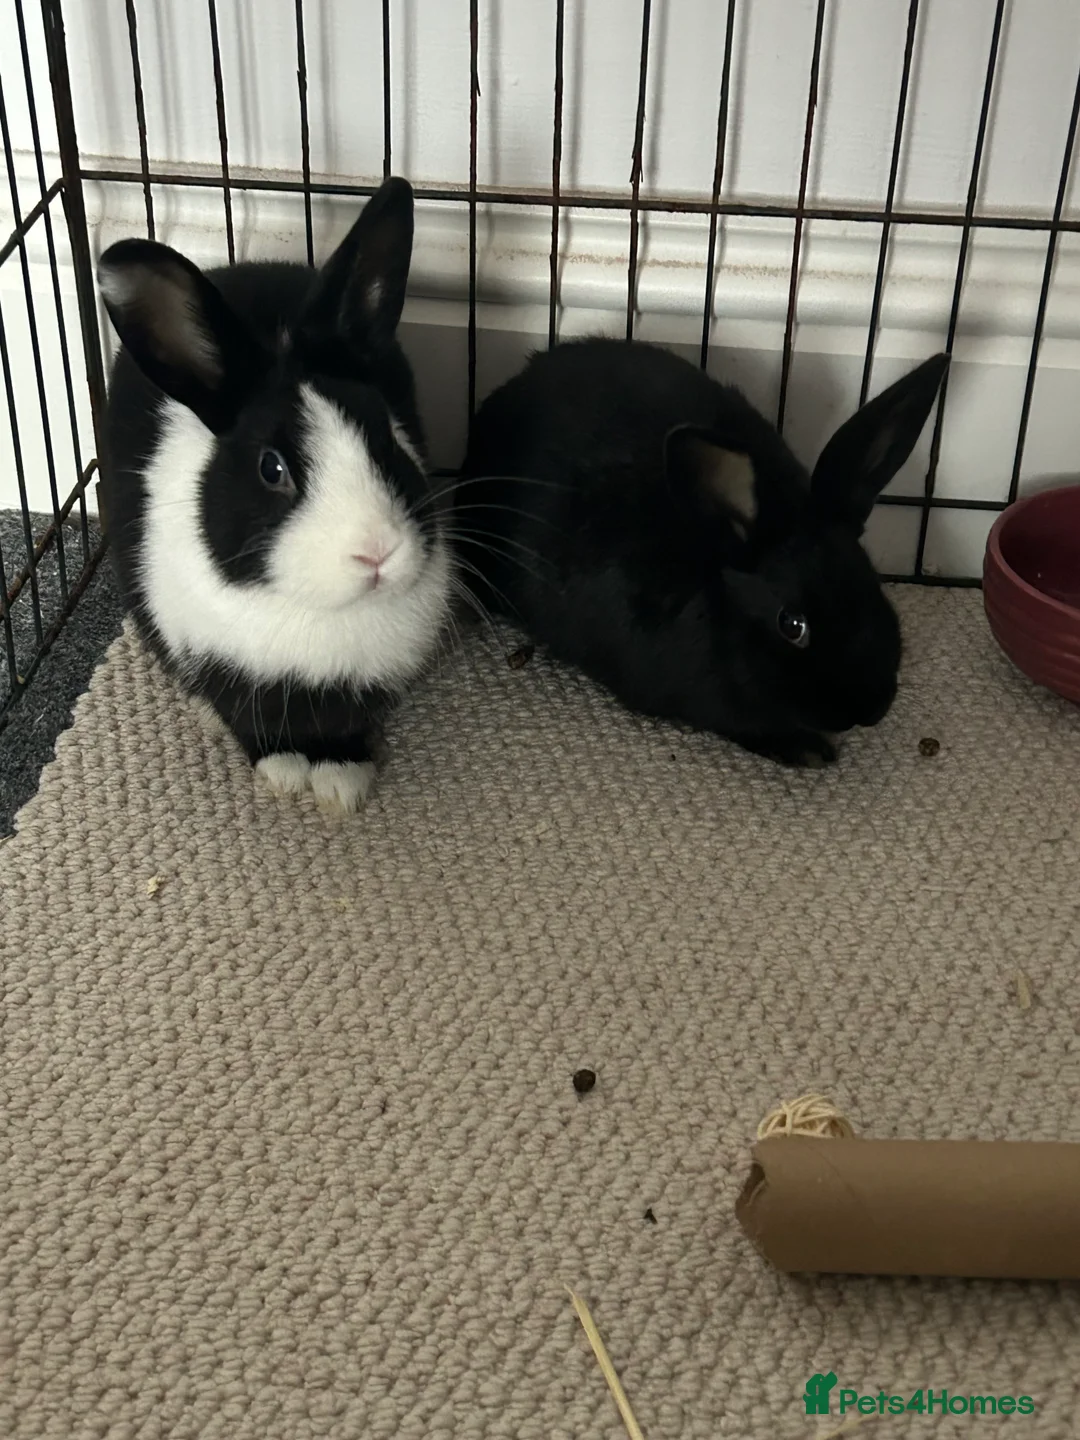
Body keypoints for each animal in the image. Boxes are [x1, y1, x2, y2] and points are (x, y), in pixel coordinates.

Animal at [97, 177, 452, 813]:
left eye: (387, 434)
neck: (321, 610)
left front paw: (341, 782)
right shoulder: (230, 671)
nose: (376, 553)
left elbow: (342, 729)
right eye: (271, 468)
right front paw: (286, 771)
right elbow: (253, 722)